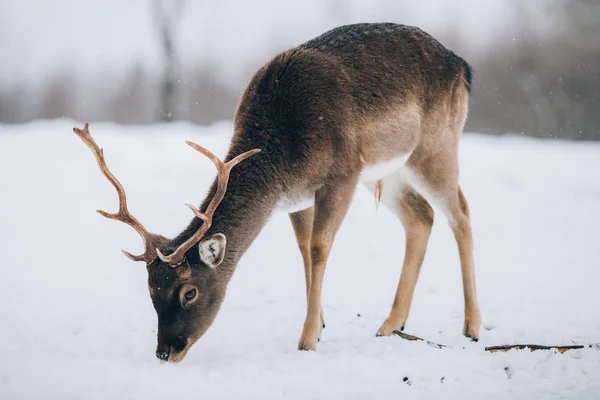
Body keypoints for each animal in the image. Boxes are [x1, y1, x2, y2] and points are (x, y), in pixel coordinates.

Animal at [72, 23, 480, 364]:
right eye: (151, 291)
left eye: (189, 292)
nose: (164, 352)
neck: (283, 152)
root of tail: (463, 66)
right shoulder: (298, 197)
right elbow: (304, 249)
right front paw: (320, 324)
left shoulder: (342, 174)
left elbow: (319, 247)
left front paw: (307, 339)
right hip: (389, 170)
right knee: (421, 217)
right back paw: (391, 323)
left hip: (434, 145)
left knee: (460, 211)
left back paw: (471, 327)